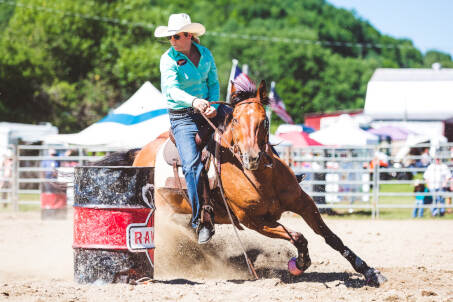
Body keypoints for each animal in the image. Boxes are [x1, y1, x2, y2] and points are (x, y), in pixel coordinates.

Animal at [93, 81, 386, 288]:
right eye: (235, 120)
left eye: (265, 120)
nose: (252, 157)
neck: (261, 179)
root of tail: (139, 153)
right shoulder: (254, 221)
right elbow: (298, 237)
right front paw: (299, 263)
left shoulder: (304, 203)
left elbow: (330, 237)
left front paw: (370, 272)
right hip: (164, 210)